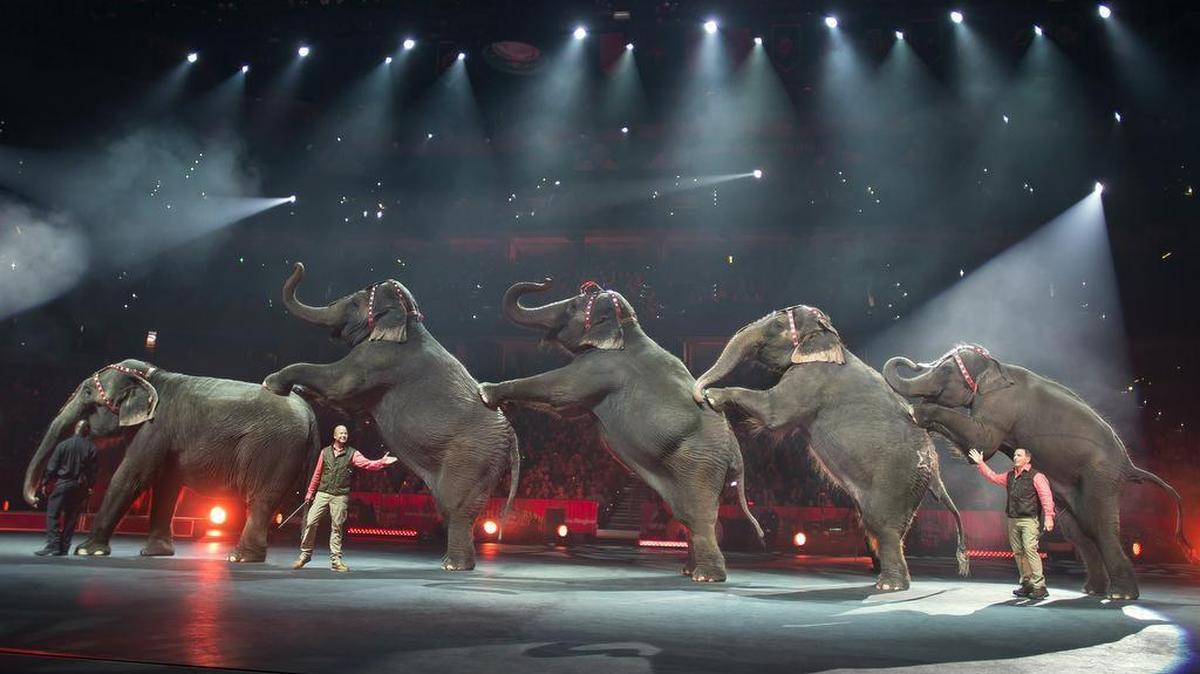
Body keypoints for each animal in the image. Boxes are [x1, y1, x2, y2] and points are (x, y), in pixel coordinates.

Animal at [23, 359, 319, 562]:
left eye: (86, 392)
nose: (37, 498)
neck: (152, 376)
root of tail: (309, 413)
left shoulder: (156, 427)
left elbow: (132, 475)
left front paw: (86, 552)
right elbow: (166, 485)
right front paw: (155, 553)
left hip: (273, 448)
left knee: (260, 499)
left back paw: (240, 557)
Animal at [262, 263, 519, 571]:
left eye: (355, 302)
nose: (298, 265)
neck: (409, 318)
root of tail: (512, 438)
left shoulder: (379, 359)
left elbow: (339, 383)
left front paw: (272, 382)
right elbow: (348, 405)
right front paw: (299, 390)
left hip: (472, 458)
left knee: (455, 507)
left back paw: (454, 566)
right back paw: (449, 561)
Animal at [478, 279, 762, 582]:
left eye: (572, 306)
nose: (546, 281)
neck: (628, 328)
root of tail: (735, 452)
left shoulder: (601, 368)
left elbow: (559, 391)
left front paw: (486, 391)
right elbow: (567, 409)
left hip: (700, 464)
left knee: (698, 515)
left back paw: (706, 576)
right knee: (684, 514)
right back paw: (688, 570)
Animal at [692, 305, 970, 591]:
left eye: (777, 325)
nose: (699, 392)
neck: (831, 340)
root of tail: (934, 469)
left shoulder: (811, 378)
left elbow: (773, 410)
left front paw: (713, 396)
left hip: (897, 479)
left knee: (882, 525)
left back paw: (889, 585)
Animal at [883, 344, 1193, 599]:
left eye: (946, 370)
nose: (913, 362)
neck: (997, 366)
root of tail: (1129, 465)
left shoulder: (1000, 404)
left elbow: (983, 443)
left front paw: (919, 412)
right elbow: (977, 448)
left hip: (1101, 476)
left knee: (1100, 526)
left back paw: (1121, 595)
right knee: (1078, 530)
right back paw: (1093, 590)